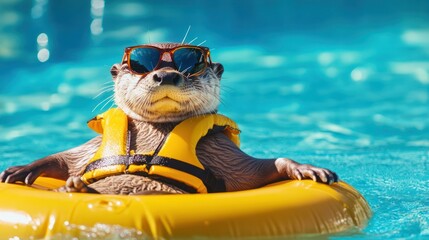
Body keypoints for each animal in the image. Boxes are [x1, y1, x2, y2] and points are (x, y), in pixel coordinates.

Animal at [0, 42, 338, 194]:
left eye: (190, 64)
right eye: (141, 64)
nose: (166, 74)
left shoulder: (218, 148)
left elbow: (254, 171)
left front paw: (305, 168)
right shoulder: (94, 145)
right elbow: (67, 159)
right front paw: (21, 169)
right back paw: (77, 188)